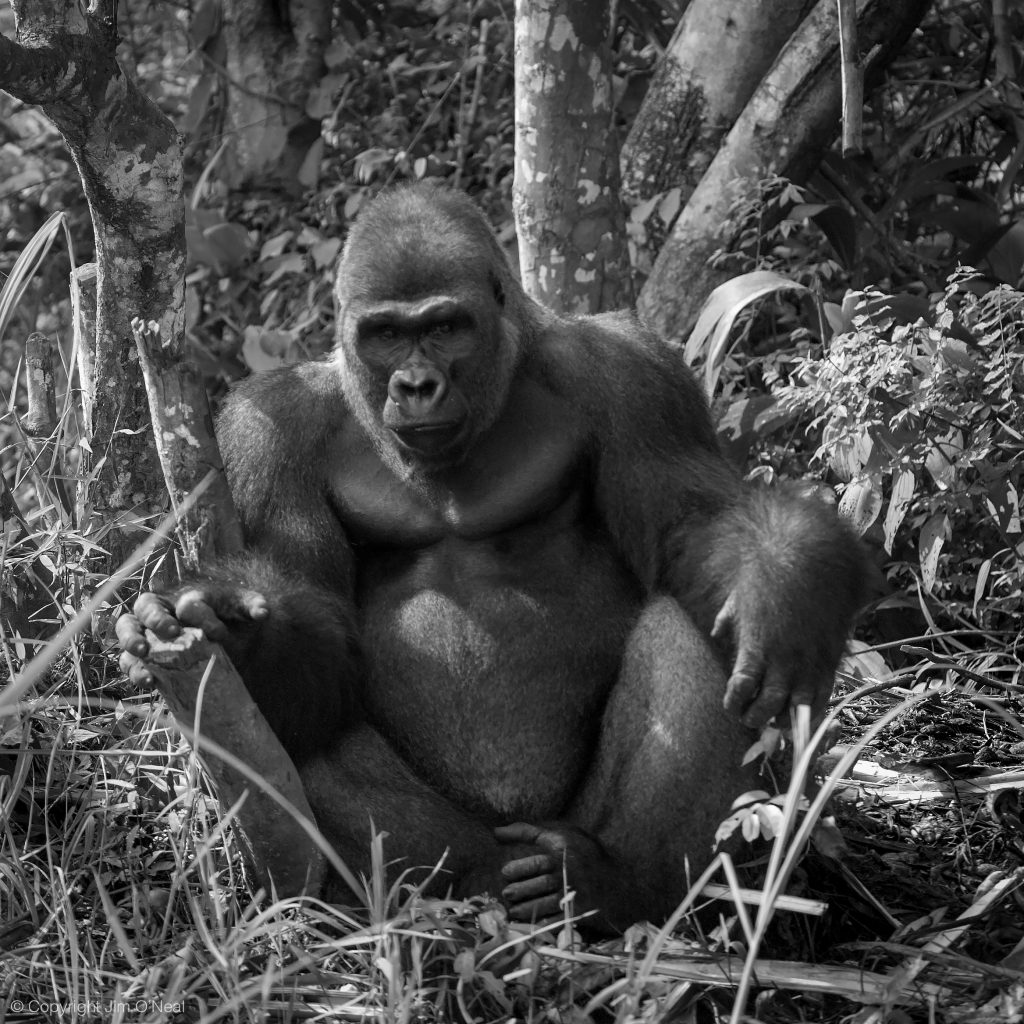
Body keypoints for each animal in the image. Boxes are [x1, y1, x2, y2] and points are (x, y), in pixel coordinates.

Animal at [119, 182, 872, 929]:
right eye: (385, 335)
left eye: (447, 327)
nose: (416, 385)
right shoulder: (266, 430)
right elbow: (319, 632)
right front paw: (242, 633)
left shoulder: (631, 370)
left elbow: (693, 527)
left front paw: (783, 589)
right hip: (471, 848)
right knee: (310, 721)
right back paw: (450, 892)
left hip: (565, 827)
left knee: (694, 632)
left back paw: (613, 885)